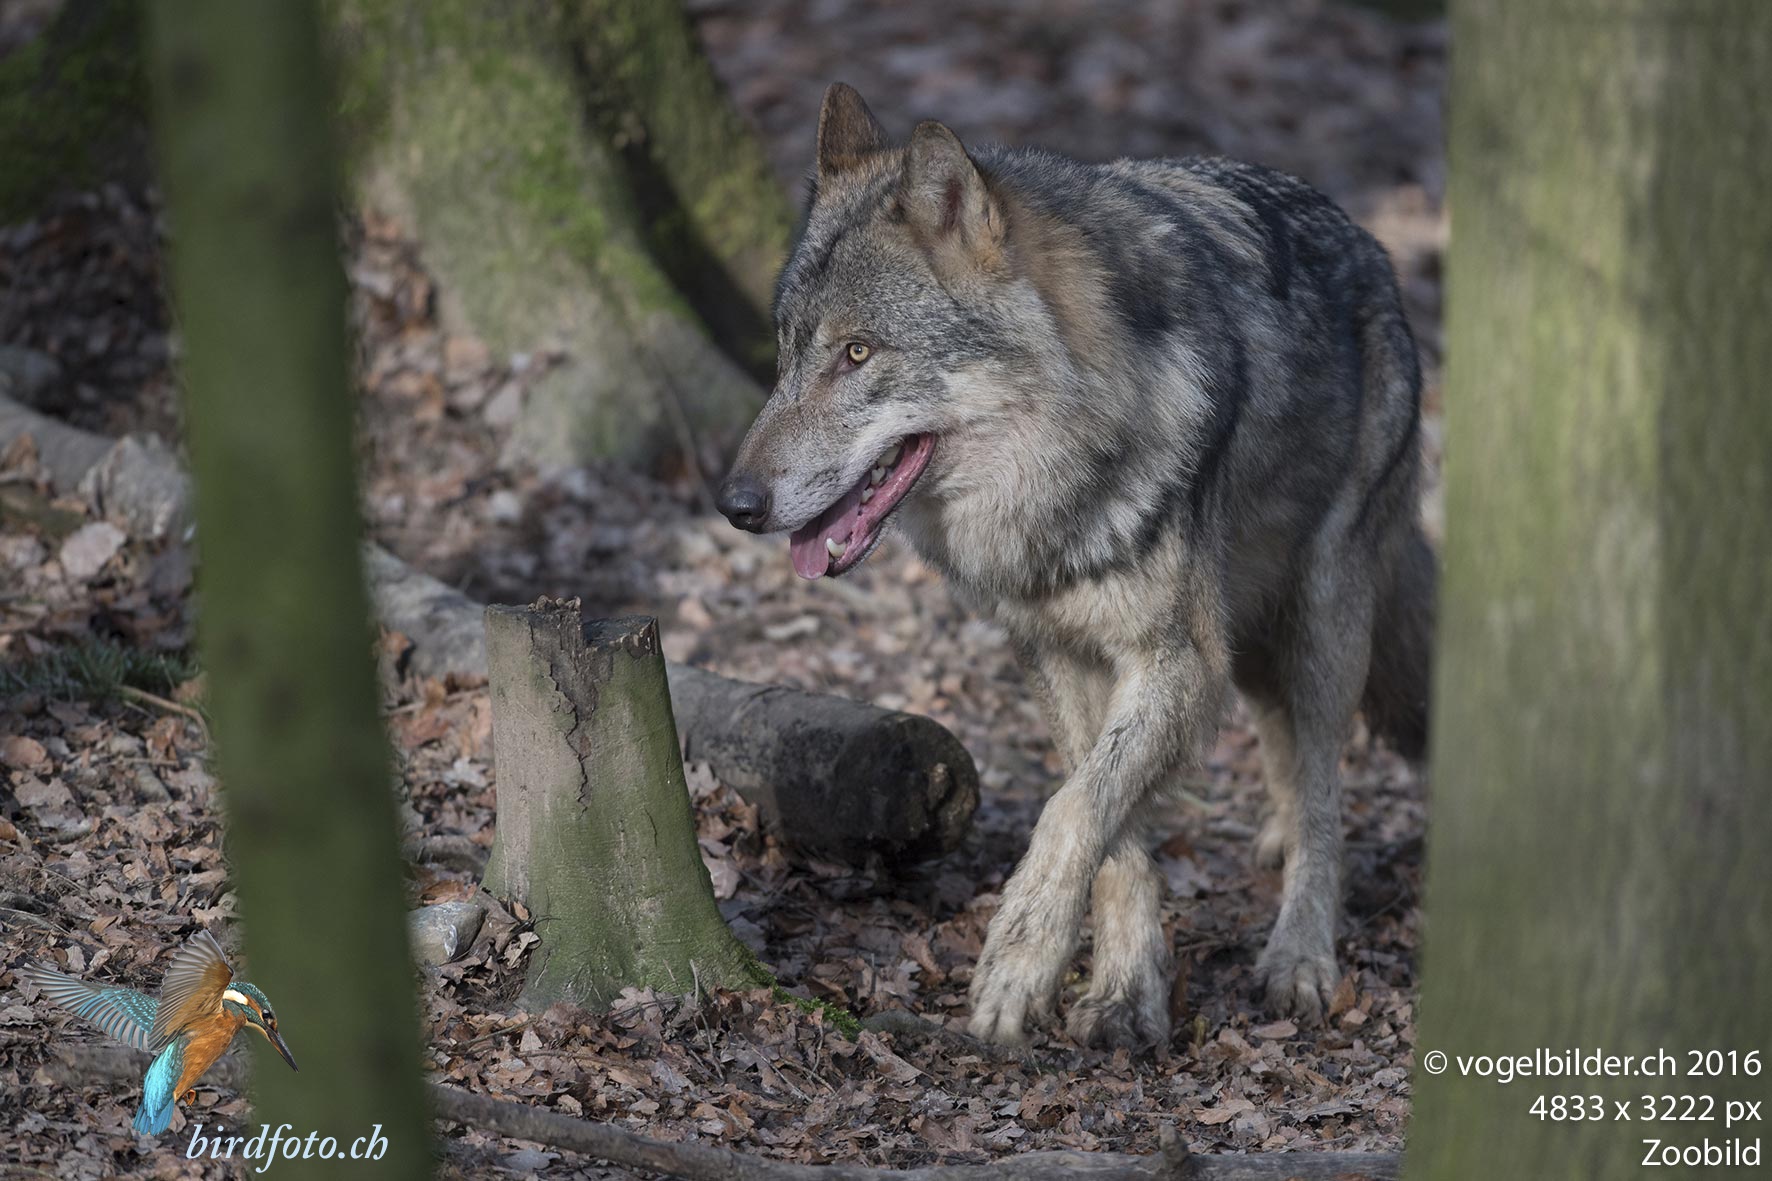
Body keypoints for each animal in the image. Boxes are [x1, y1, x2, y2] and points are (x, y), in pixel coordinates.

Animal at [717, 83, 1435, 1049]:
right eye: (788, 352)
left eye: (858, 353)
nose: (735, 504)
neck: (1062, 475)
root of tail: (1373, 248)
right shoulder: (1060, 652)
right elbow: (1111, 820)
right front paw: (1126, 990)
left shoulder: (1179, 658)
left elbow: (1073, 808)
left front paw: (1019, 959)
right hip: (1252, 640)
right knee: (1282, 751)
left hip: (1323, 621)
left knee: (1325, 784)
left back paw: (1300, 954)